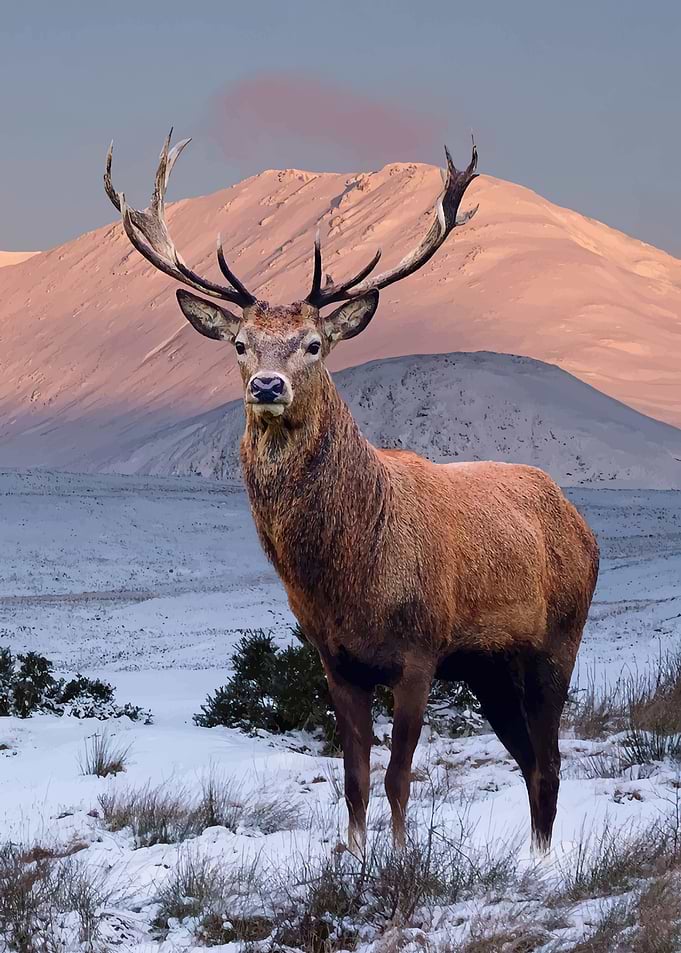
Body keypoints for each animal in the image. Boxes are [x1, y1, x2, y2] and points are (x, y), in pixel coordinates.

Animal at [105, 132, 599, 853]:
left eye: (314, 343)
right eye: (240, 344)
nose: (268, 386)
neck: (350, 577)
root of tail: (581, 522)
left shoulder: (420, 650)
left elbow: (398, 777)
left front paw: (397, 859)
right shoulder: (335, 660)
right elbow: (355, 779)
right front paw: (357, 855)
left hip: (558, 637)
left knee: (550, 758)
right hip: (489, 668)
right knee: (530, 759)